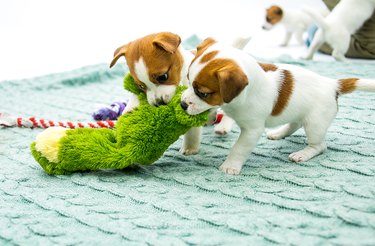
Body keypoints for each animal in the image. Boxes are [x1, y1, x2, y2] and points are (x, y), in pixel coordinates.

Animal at [181, 38, 375, 175]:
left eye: (203, 93)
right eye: (188, 81)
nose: (182, 104)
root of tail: (333, 84)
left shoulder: (252, 130)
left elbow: (239, 148)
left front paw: (230, 165)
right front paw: (209, 117)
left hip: (315, 124)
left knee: (320, 146)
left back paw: (302, 153)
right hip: (300, 114)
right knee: (295, 123)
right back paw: (278, 133)